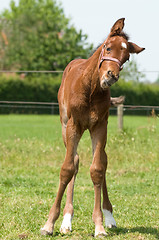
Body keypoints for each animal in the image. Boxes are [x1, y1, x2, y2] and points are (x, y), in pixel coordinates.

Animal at [40, 18, 144, 236]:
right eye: (108, 47)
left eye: (126, 58)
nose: (111, 75)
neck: (90, 88)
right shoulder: (74, 125)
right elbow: (67, 168)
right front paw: (49, 223)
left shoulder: (100, 126)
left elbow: (97, 169)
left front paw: (100, 225)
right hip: (65, 126)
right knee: (75, 161)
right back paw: (66, 220)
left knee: (102, 161)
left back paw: (109, 217)